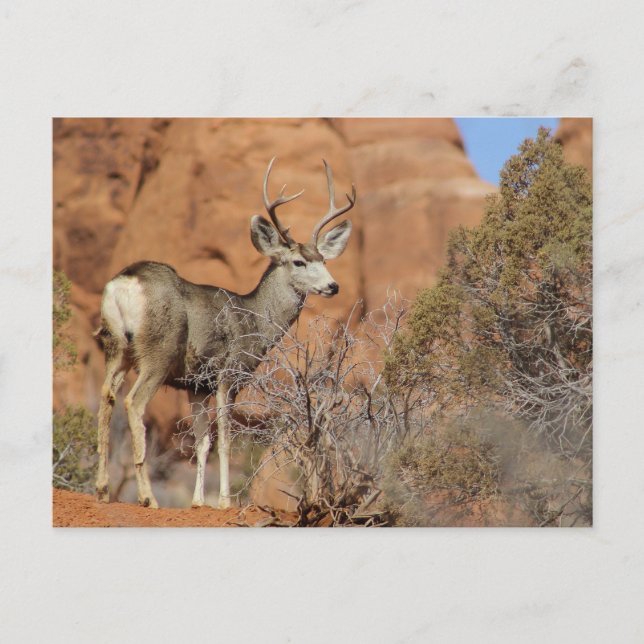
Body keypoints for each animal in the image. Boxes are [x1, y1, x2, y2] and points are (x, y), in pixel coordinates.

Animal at [94, 157, 356, 509]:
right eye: (299, 262)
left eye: (324, 259)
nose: (333, 286)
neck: (255, 322)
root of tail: (125, 282)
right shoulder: (229, 373)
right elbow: (225, 441)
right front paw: (224, 501)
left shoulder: (196, 384)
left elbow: (201, 442)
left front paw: (197, 502)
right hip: (159, 351)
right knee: (133, 403)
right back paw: (148, 497)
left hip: (116, 346)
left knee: (105, 397)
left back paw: (102, 489)